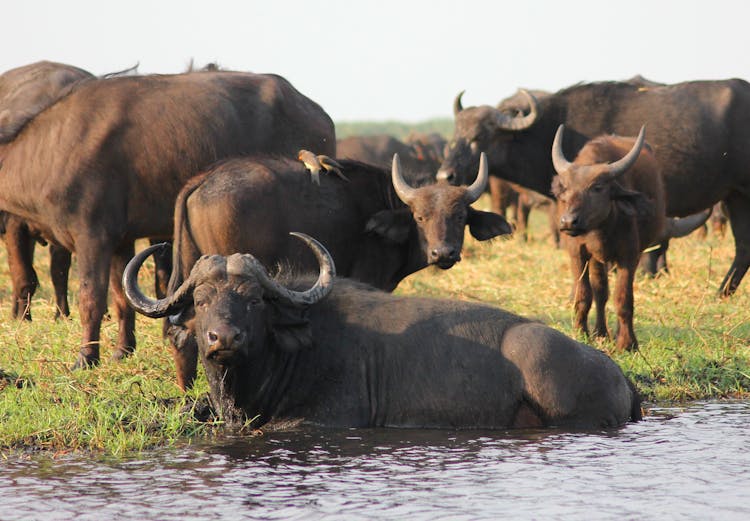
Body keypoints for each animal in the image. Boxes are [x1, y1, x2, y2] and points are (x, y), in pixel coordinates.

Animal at [0, 64, 336, 366]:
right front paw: (122, 351)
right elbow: (122, 298)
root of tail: (316, 111)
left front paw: (86, 358)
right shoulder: (121, 241)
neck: (52, 149)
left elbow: (91, 299)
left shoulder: (92, 237)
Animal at [440, 79, 750, 294]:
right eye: (456, 134)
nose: (446, 176)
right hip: (735, 196)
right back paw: (722, 292)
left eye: (479, 137)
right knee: (743, 248)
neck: (554, 130)